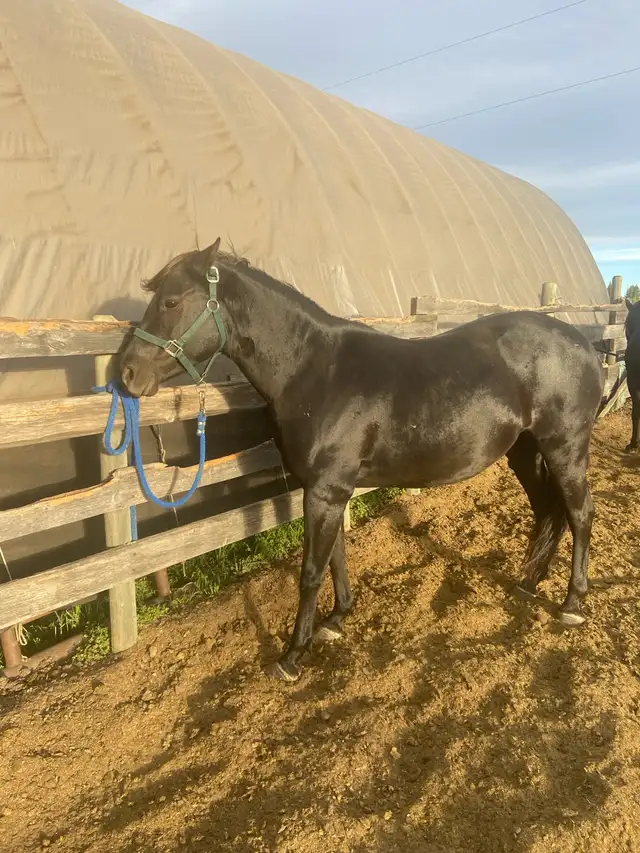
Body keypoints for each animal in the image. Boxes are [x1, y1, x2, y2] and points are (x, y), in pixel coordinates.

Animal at [119, 239, 604, 682]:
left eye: (171, 301)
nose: (126, 374)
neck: (314, 371)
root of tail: (584, 344)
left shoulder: (326, 490)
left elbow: (311, 570)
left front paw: (292, 656)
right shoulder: (326, 489)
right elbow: (336, 556)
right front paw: (336, 620)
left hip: (565, 447)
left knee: (580, 513)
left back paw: (572, 603)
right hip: (525, 451)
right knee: (548, 511)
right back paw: (528, 585)